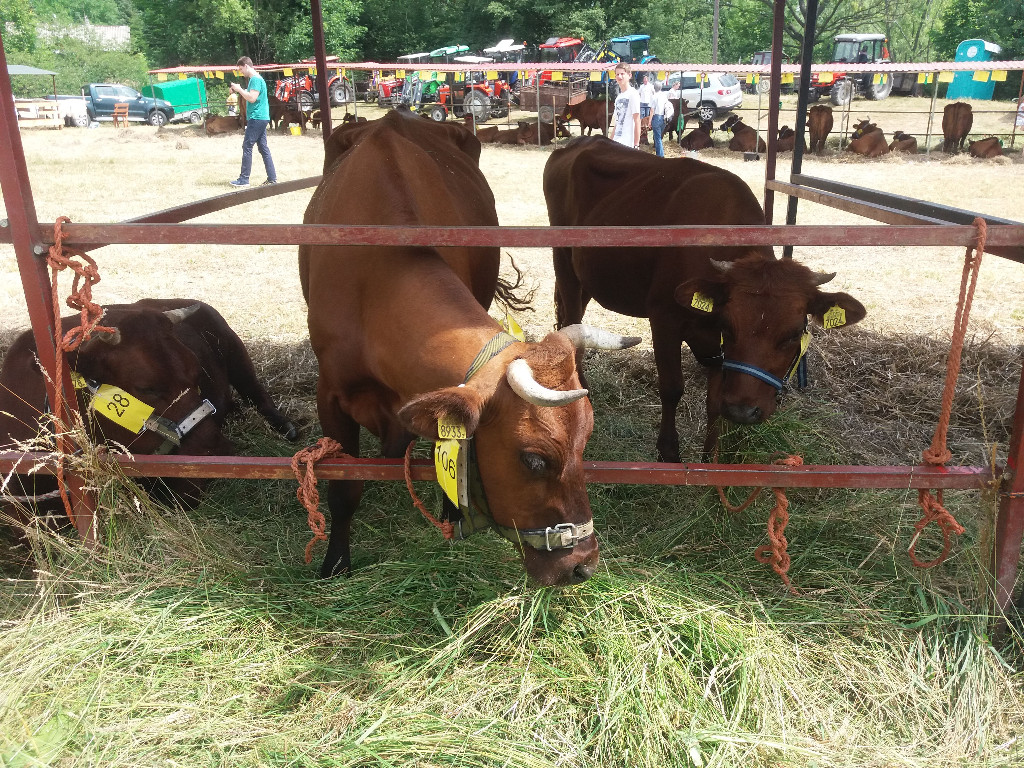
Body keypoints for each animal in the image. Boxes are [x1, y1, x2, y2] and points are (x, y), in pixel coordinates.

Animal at [301, 111, 639, 585]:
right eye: (534, 460)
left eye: (585, 444)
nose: (583, 565)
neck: (374, 282)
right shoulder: (330, 395)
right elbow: (343, 486)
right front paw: (335, 563)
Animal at [544, 138, 866, 462]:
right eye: (731, 327)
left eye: (793, 334)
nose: (744, 411)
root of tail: (579, 142)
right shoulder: (664, 318)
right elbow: (672, 388)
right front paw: (669, 453)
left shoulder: (715, 348)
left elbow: (714, 401)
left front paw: (710, 458)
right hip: (564, 263)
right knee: (571, 320)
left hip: (587, 276)